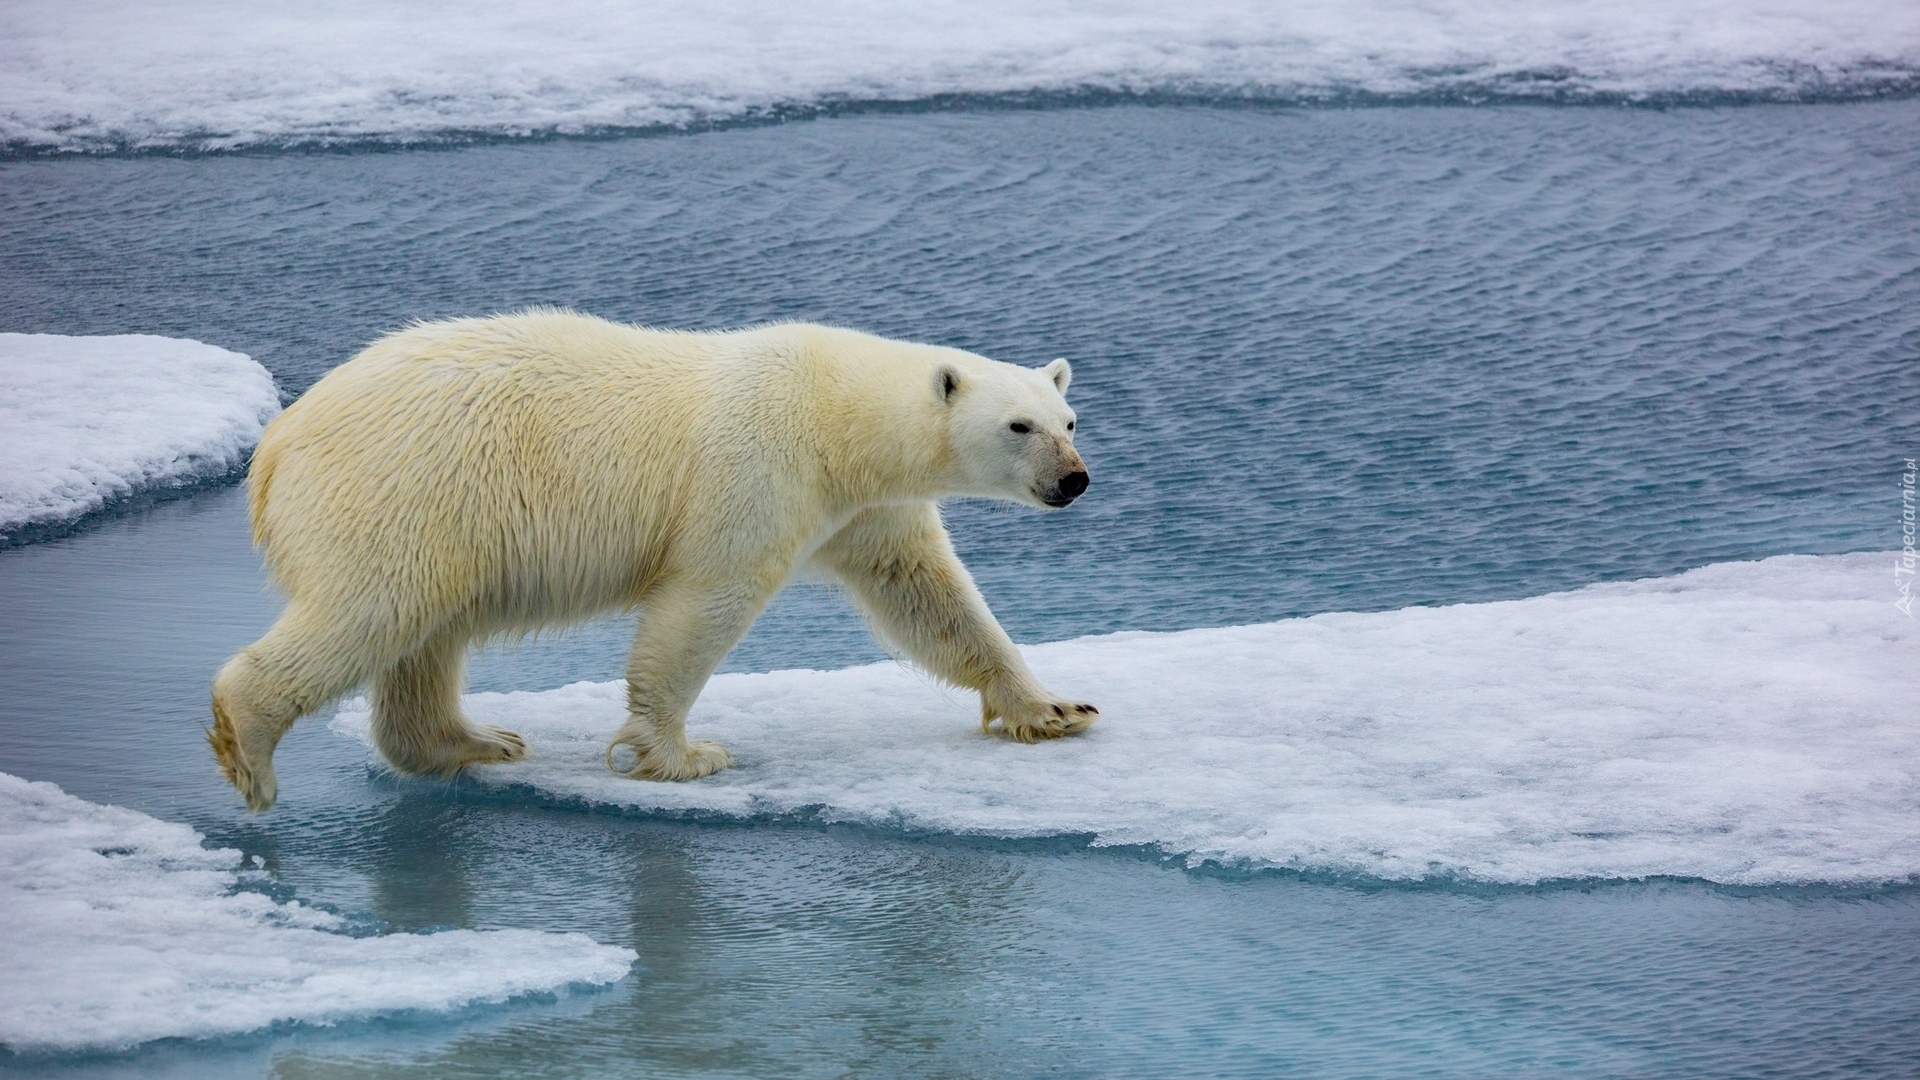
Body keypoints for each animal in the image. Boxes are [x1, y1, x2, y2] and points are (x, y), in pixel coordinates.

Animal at [210, 307, 1098, 803]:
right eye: (1018, 426)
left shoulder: (865, 507)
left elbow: (928, 594)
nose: (1074, 480)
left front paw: (1054, 709)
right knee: (371, 612)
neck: (833, 415)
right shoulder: (756, 469)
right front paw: (682, 755)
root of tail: (275, 445)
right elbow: (704, 602)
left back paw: (477, 741)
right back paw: (248, 747)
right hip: (402, 491)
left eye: (1068, 419)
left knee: (424, 635)